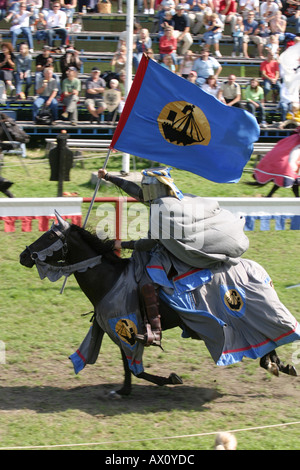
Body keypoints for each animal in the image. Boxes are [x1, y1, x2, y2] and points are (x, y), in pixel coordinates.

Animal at [19, 213, 298, 396]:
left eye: (49, 236)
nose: (24, 256)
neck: (110, 279)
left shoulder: (128, 327)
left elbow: (136, 367)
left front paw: (170, 379)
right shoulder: (120, 332)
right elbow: (127, 366)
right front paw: (124, 390)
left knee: (269, 333)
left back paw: (273, 362)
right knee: (265, 339)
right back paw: (277, 363)